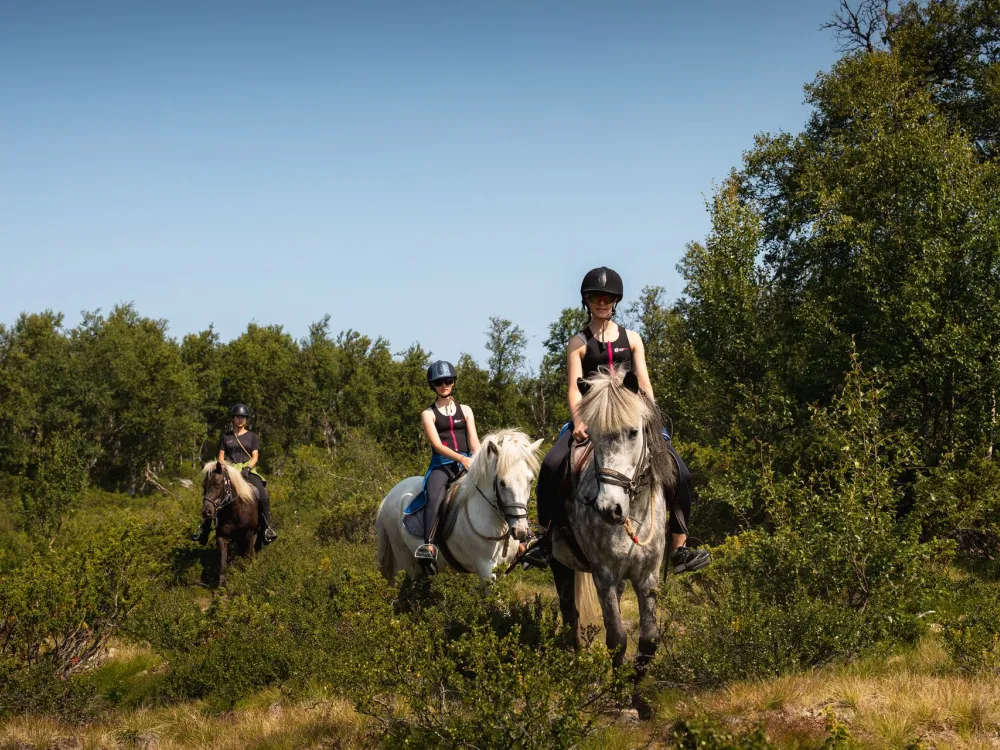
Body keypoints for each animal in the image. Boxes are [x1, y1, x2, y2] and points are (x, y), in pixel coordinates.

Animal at [200, 462, 260, 592]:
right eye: (203, 485)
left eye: (217, 484)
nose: (206, 512)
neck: (234, 511)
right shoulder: (222, 537)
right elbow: (223, 564)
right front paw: (221, 588)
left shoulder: (249, 534)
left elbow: (249, 556)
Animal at [376, 432, 548, 584]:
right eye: (502, 482)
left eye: (530, 480)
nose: (520, 531)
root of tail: (389, 496)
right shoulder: (485, 569)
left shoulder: (503, 568)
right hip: (405, 560)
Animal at [552, 374, 676, 720]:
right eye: (592, 436)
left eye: (633, 432)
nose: (609, 509)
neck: (631, 514)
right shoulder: (604, 574)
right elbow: (617, 638)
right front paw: (620, 696)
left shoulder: (647, 574)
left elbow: (648, 638)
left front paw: (637, 697)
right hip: (560, 565)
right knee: (571, 616)